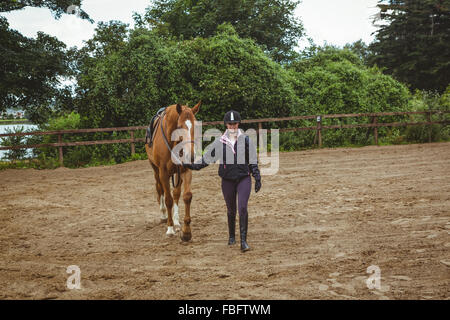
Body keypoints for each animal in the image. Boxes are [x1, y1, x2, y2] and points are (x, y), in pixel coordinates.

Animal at [145, 101, 201, 241]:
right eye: (179, 126)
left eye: (196, 126)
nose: (191, 156)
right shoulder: (163, 173)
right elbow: (168, 200)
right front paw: (170, 229)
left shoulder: (185, 170)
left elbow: (186, 196)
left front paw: (186, 232)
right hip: (156, 171)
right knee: (160, 189)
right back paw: (164, 216)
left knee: (176, 193)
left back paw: (176, 222)